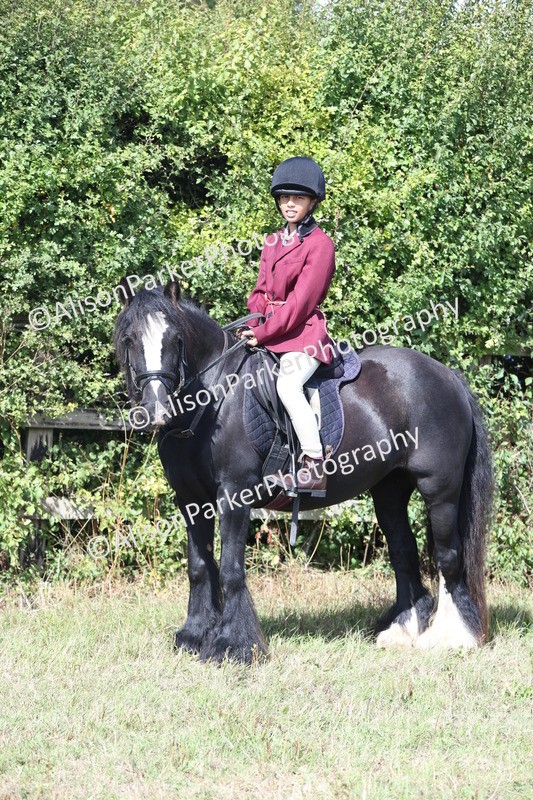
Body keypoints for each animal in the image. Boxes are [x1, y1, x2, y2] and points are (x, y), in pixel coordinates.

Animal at [114, 279, 493, 663]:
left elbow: (231, 570)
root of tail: (448, 375)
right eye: (129, 339)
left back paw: (452, 637)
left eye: (175, 338)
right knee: (404, 551)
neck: (215, 398)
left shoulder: (234, 496)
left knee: (448, 557)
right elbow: (199, 567)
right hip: (389, 490)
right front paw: (193, 636)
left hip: (440, 491)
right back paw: (401, 629)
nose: (156, 410)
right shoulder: (190, 501)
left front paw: (232, 645)